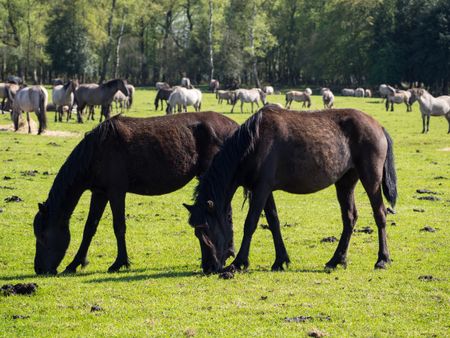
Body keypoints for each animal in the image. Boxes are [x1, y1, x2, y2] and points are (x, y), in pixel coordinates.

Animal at [33, 112, 239, 276]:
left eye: (42, 236)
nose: (39, 269)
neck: (97, 149)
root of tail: (234, 126)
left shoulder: (116, 192)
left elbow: (119, 227)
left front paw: (119, 263)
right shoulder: (99, 193)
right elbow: (89, 228)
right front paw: (74, 264)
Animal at [185, 107, 398, 274]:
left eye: (205, 229)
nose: (208, 267)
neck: (253, 144)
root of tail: (378, 126)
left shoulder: (261, 189)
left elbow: (250, 223)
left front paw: (239, 262)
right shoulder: (264, 190)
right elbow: (273, 221)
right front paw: (280, 260)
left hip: (371, 179)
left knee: (380, 214)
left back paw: (382, 259)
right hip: (345, 183)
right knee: (350, 218)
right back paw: (336, 260)